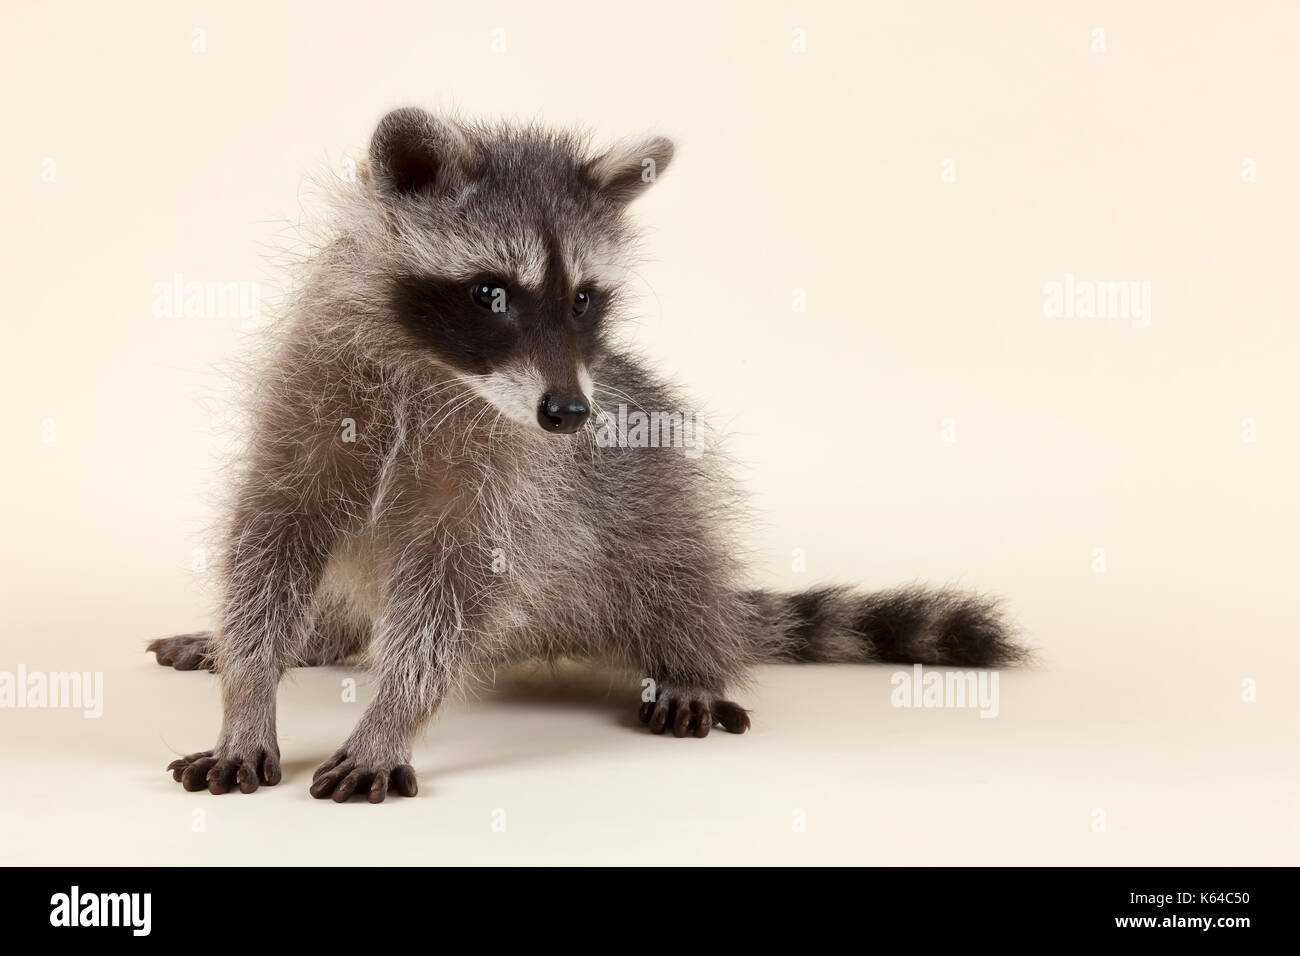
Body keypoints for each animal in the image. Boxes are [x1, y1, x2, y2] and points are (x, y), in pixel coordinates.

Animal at [149, 108, 1024, 806]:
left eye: (581, 300)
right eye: (491, 293)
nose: (570, 413)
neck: (437, 369)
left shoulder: (512, 472)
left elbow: (452, 591)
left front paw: (391, 716)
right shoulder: (314, 390)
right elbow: (272, 539)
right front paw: (248, 689)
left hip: (658, 494)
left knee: (674, 572)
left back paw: (694, 661)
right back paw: (308, 637)